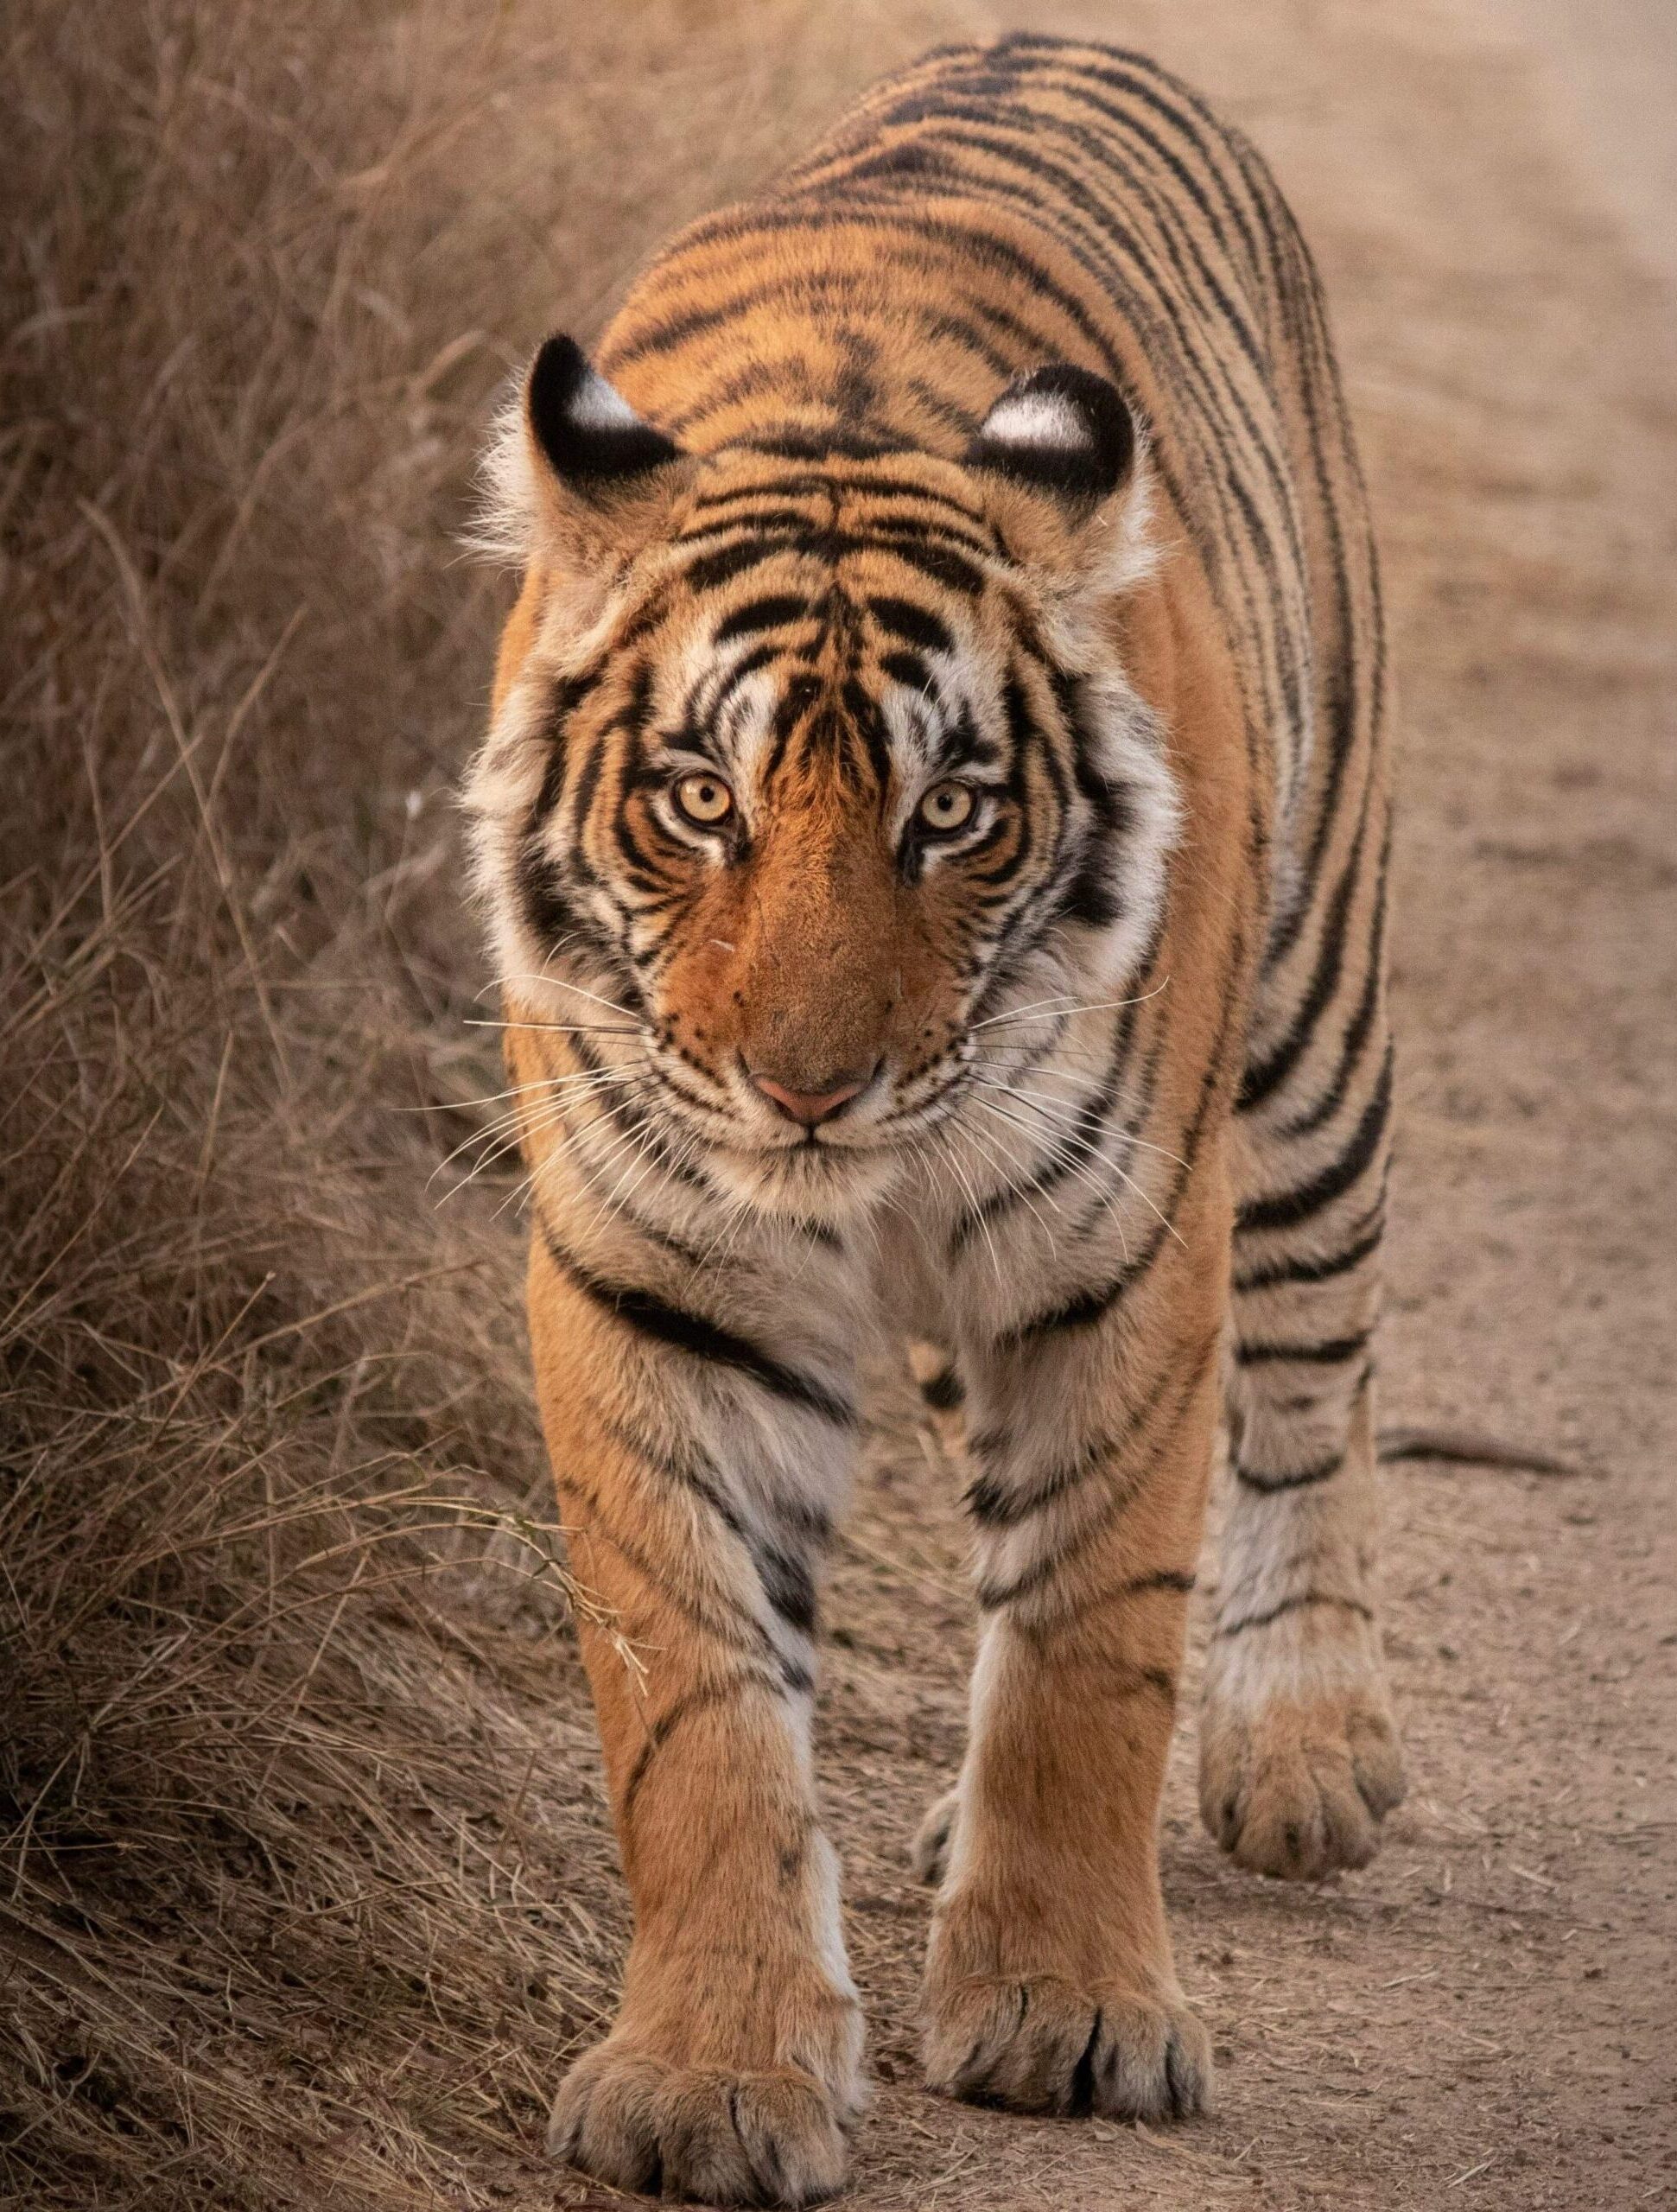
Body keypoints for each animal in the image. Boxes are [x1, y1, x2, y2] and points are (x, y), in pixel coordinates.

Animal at [467, 26, 1415, 2202]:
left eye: (954, 813)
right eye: (699, 800)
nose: (807, 1087)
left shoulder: (1121, 1252)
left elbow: (1085, 1640)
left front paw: (1068, 2009)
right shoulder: (659, 1275)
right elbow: (696, 1701)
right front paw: (711, 2073)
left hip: (1311, 1037)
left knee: (1313, 1378)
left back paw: (1302, 1743)